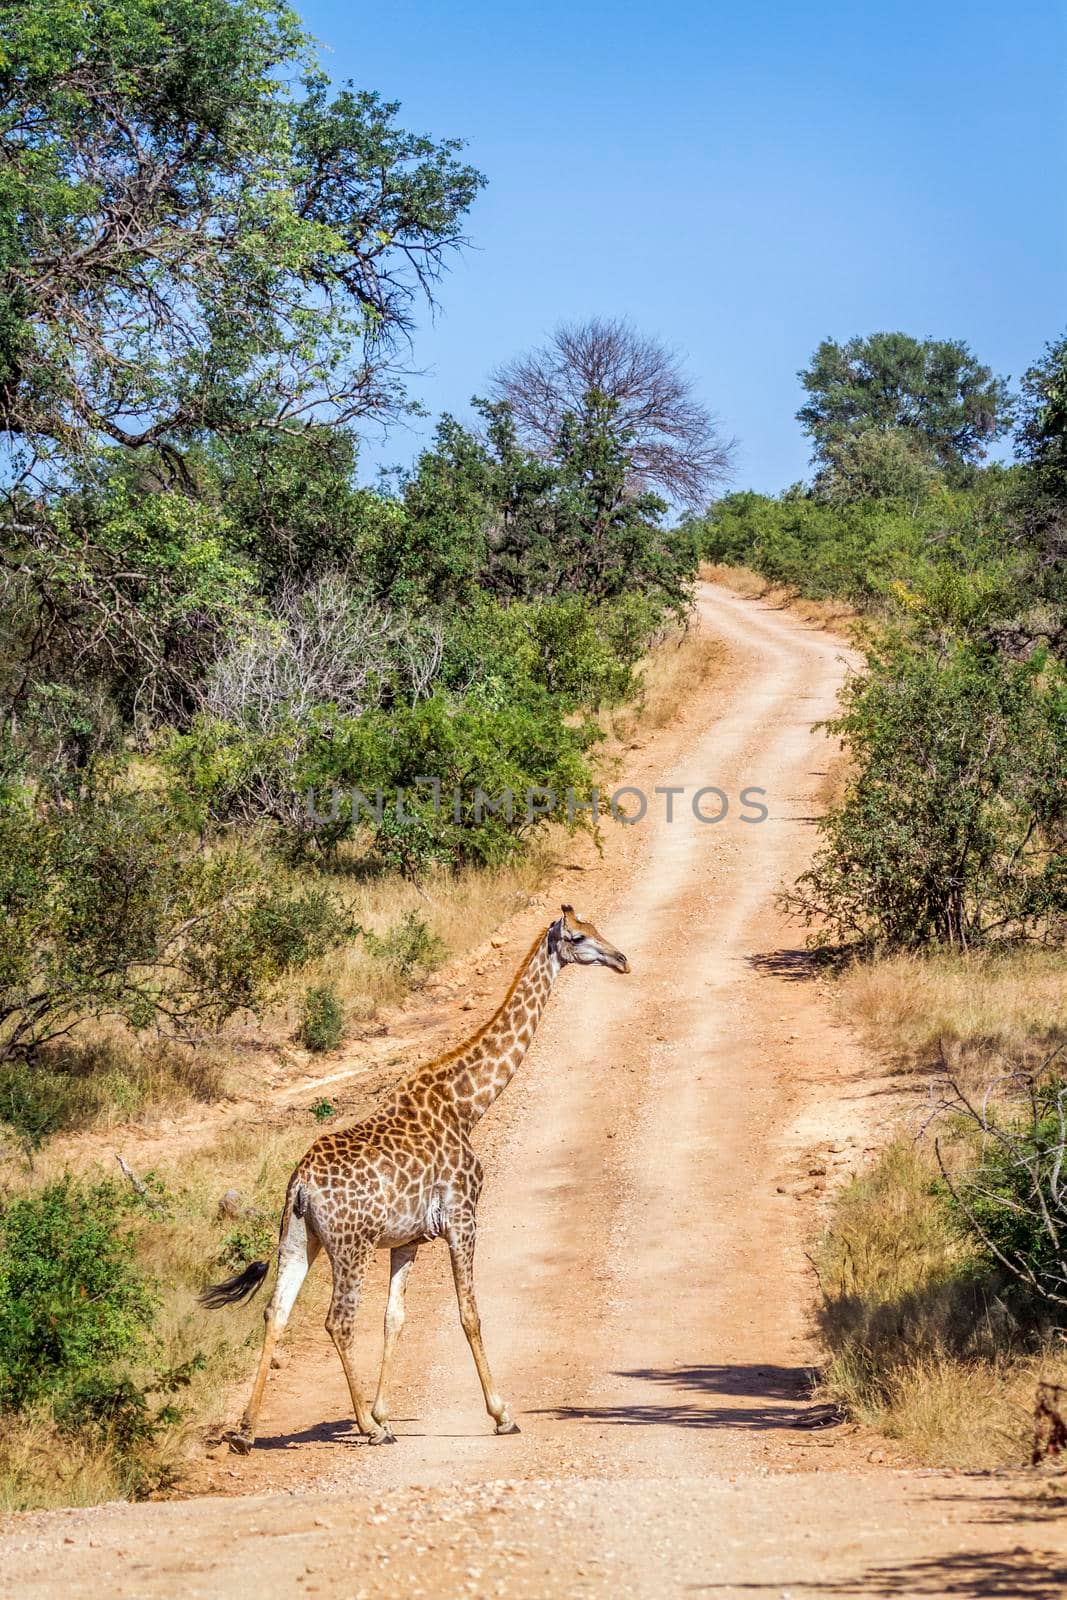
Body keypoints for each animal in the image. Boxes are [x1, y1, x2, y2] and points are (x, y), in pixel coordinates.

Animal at [202, 908, 627, 1459]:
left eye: (596, 930)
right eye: (578, 937)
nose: (622, 959)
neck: (468, 1102)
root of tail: (301, 1184)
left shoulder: (408, 1239)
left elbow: (395, 1318)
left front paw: (385, 1409)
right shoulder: (464, 1217)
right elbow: (469, 1314)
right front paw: (500, 1414)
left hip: (298, 1238)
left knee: (276, 1312)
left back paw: (245, 1432)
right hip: (351, 1245)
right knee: (338, 1321)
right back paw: (367, 1428)